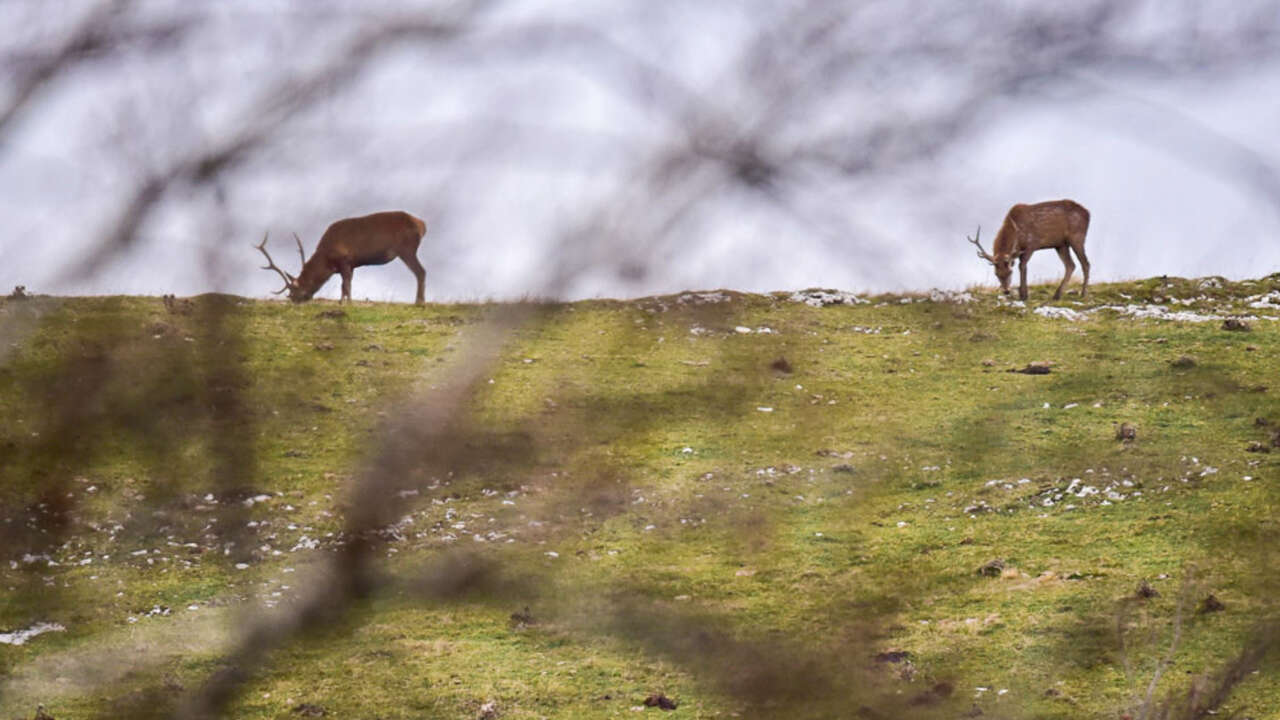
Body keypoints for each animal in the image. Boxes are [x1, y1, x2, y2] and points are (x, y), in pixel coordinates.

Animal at [256, 211, 430, 303]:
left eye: (295, 289)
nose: (293, 299)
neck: (327, 259)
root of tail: (422, 224)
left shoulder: (345, 260)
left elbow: (347, 284)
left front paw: (349, 303)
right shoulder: (350, 265)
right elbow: (343, 285)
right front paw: (342, 302)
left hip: (407, 249)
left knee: (421, 271)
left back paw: (419, 302)